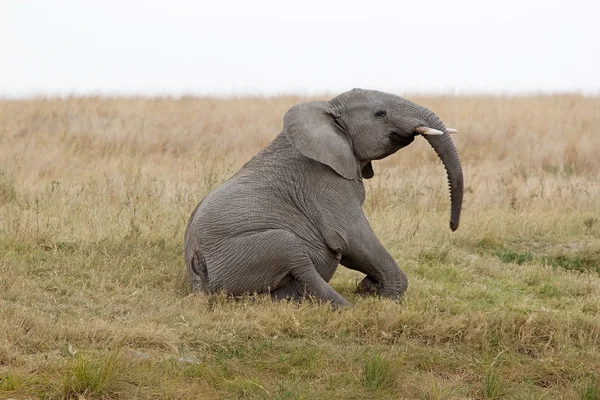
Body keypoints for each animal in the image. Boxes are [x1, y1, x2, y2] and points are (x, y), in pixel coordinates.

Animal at [184, 88, 464, 306]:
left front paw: (369, 287)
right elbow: (352, 239)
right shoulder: (325, 182)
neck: (328, 109)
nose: (452, 226)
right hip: (245, 253)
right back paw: (346, 307)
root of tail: (197, 282)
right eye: (380, 114)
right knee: (293, 253)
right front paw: (386, 297)